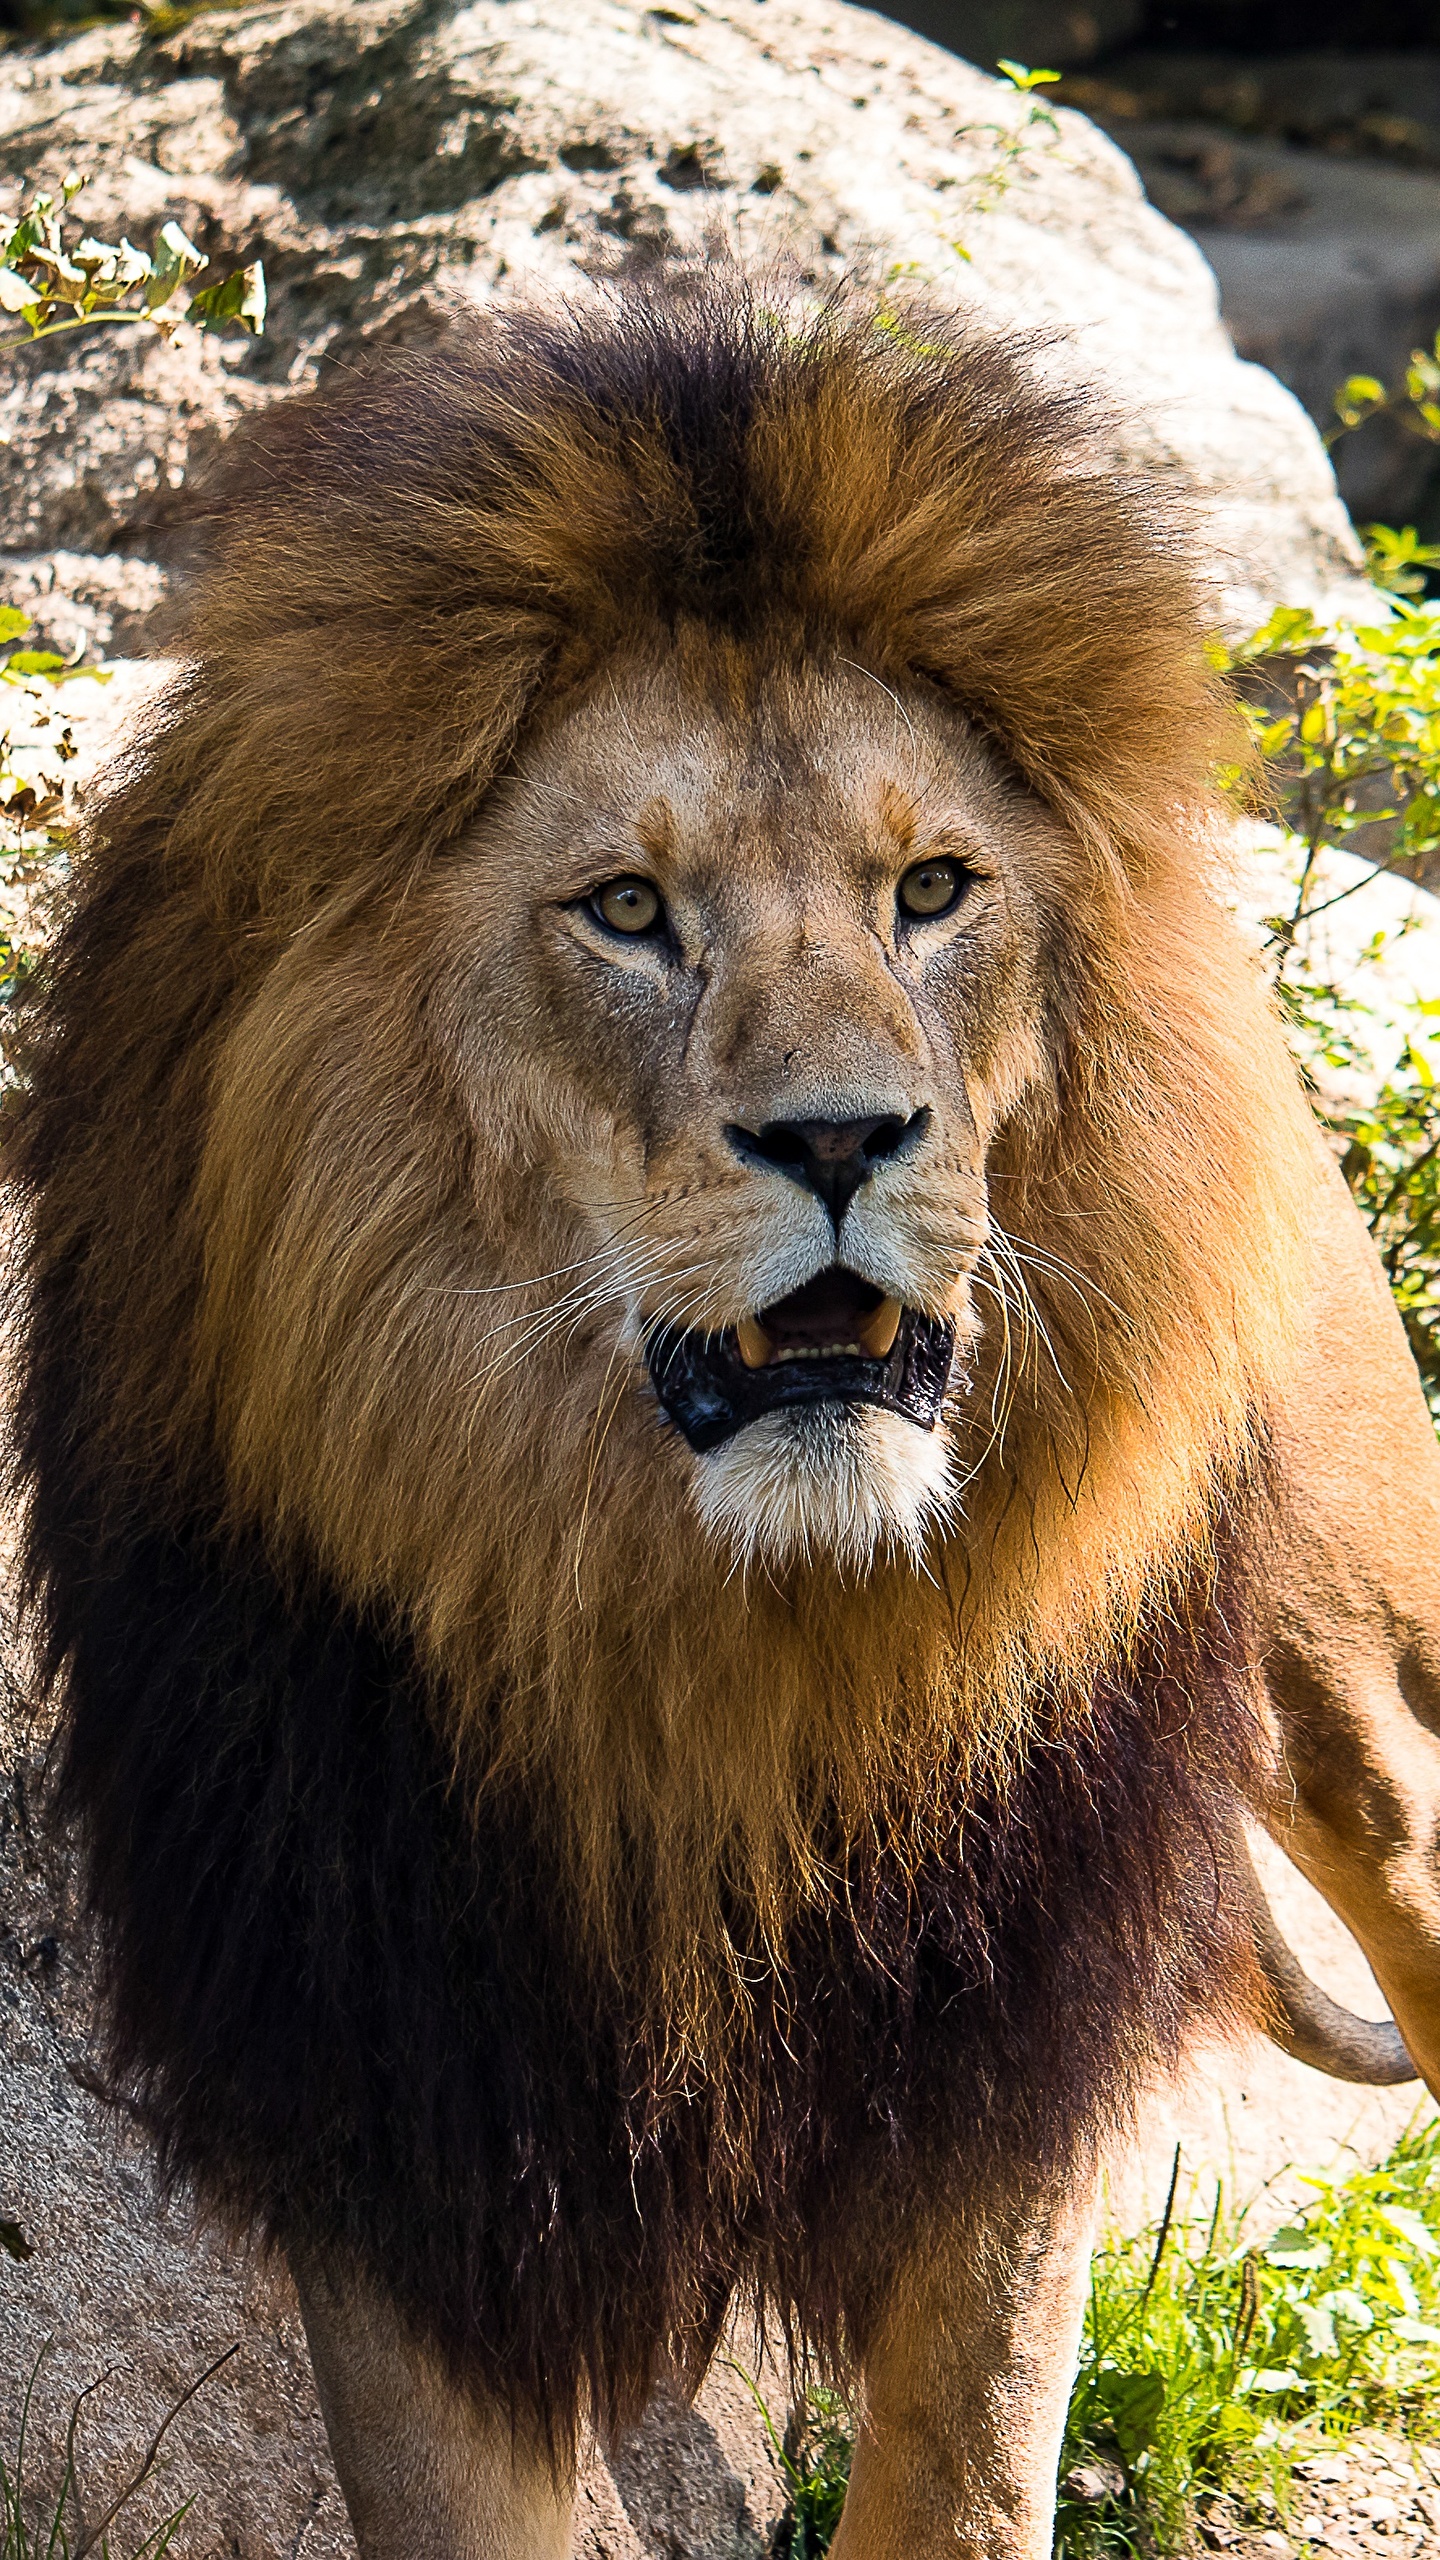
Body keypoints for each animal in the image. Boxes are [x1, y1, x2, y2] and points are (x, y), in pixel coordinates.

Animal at [11, 280, 1434, 2560]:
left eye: (931, 890)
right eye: (624, 910)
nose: (843, 1136)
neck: (720, 1641)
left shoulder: (1005, 2028)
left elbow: (962, 2475)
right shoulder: (389, 2062)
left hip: (1364, 1678)